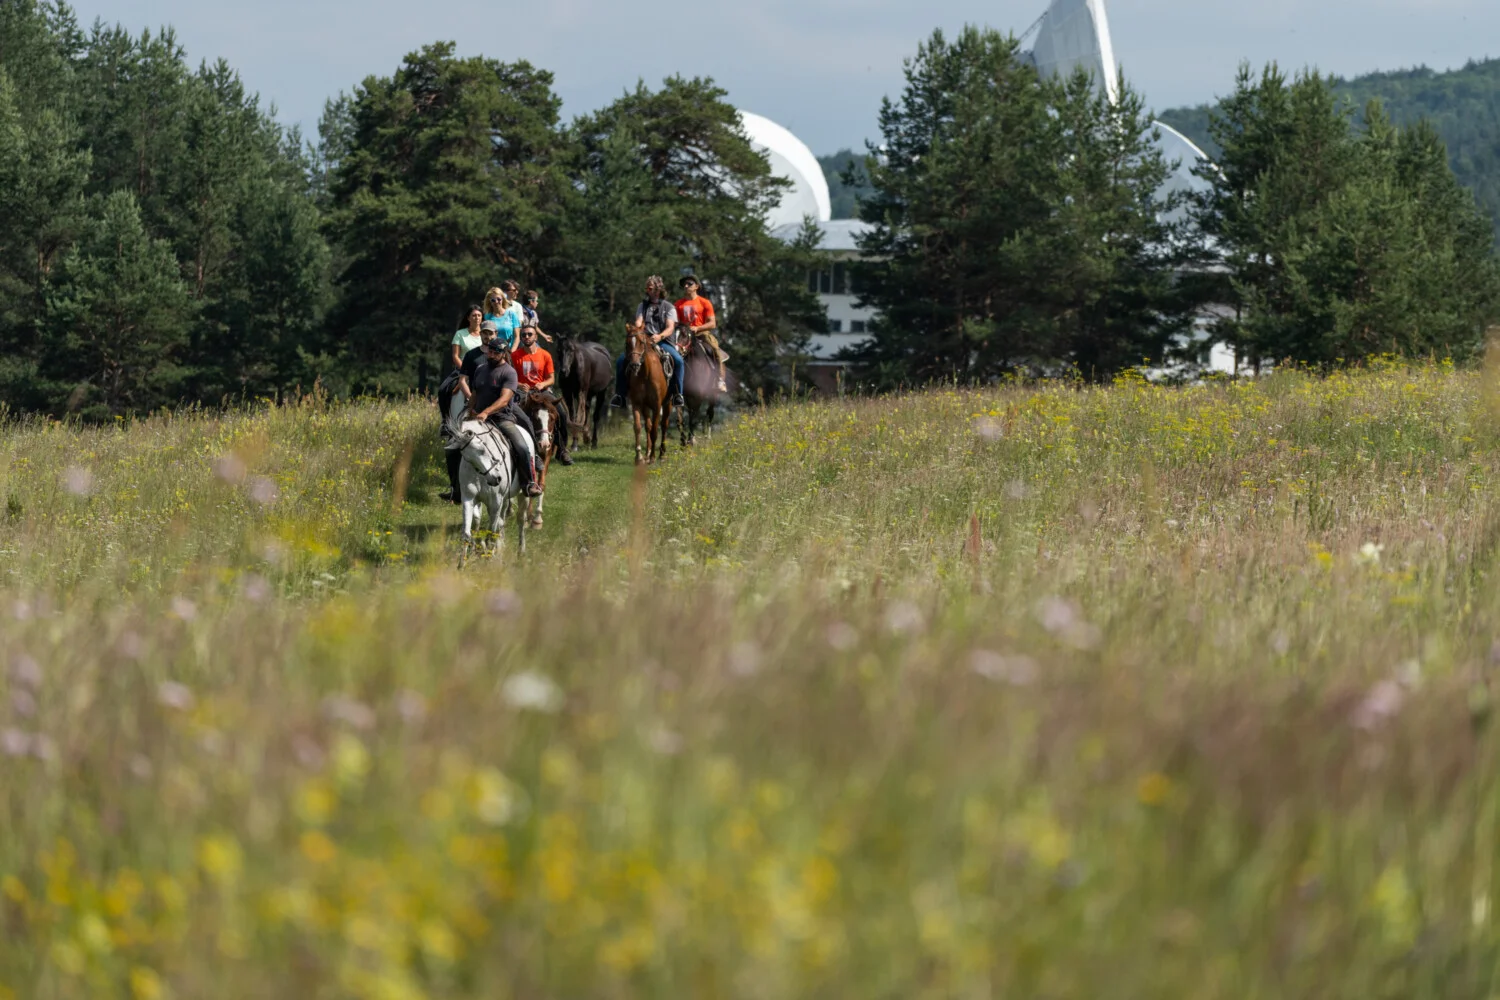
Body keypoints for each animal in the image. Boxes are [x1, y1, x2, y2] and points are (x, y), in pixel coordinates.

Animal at [444, 418, 526, 562]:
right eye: (467, 458)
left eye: (483, 448)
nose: (496, 479)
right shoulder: (469, 499)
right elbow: (468, 532)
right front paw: (462, 562)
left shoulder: (495, 502)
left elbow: (491, 533)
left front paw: (490, 557)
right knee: (502, 520)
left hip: (523, 494)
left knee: (521, 519)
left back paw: (521, 550)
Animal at [623, 323, 672, 464]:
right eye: (627, 343)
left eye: (641, 342)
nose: (634, 365)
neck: (645, 374)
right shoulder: (637, 403)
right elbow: (638, 427)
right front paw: (639, 457)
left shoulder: (657, 405)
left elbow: (655, 430)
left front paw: (653, 458)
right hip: (646, 406)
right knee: (648, 427)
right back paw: (647, 453)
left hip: (668, 404)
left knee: (664, 425)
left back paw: (661, 454)